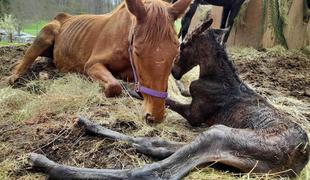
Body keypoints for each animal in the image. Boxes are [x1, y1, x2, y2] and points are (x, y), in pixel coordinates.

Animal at [3, 0, 191, 122]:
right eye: (137, 52)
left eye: (175, 52)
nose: (155, 115)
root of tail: (62, 17)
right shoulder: (92, 64)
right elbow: (114, 86)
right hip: (46, 34)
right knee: (26, 60)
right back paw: (13, 77)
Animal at [28, 19, 308, 179]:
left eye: (182, 46)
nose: (173, 70)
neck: (217, 76)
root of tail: (299, 158)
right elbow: (174, 93)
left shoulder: (195, 115)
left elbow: (167, 100)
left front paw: (131, 88)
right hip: (228, 147)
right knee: (158, 144)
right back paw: (89, 126)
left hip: (219, 133)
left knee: (159, 171)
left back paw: (46, 163)